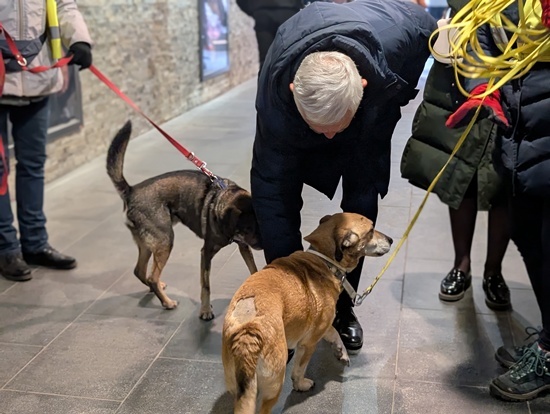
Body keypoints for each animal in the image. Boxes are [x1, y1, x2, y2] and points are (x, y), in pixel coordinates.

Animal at [107, 121, 264, 318]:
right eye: (249, 228)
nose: (264, 244)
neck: (222, 200)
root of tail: (130, 191)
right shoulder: (206, 253)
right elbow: (206, 285)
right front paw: (205, 311)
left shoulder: (243, 246)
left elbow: (253, 269)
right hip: (165, 241)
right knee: (151, 276)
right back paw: (167, 302)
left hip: (149, 244)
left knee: (140, 271)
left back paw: (157, 288)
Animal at [222, 213, 394, 414]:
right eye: (371, 230)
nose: (391, 240)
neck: (325, 260)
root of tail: (248, 332)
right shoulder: (309, 343)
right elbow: (299, 369)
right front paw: (301, 384)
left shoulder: (322, 325)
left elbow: (334, 333)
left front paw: (341, 351)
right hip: (273, 385)